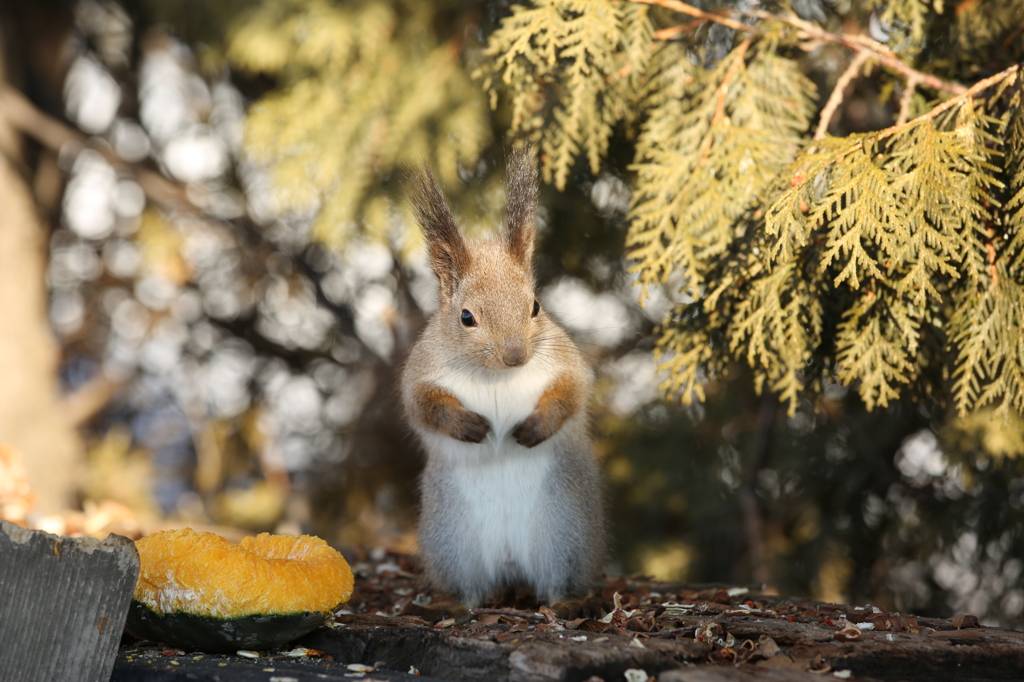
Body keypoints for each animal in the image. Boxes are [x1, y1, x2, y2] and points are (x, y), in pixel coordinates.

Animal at [401, 144, 606, 610]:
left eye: (535, 306)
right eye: (466, 317)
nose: (516, 356)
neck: (495, 376)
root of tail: (511, 564)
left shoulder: (563, 361)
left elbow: (571, 392)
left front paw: (534, 428)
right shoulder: (421, 372)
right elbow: (423, 407)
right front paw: (469, 426)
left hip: (562, 531)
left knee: (556, 579)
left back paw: (561, 604)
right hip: (455, 542)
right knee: (471, 586)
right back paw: (464, 605)